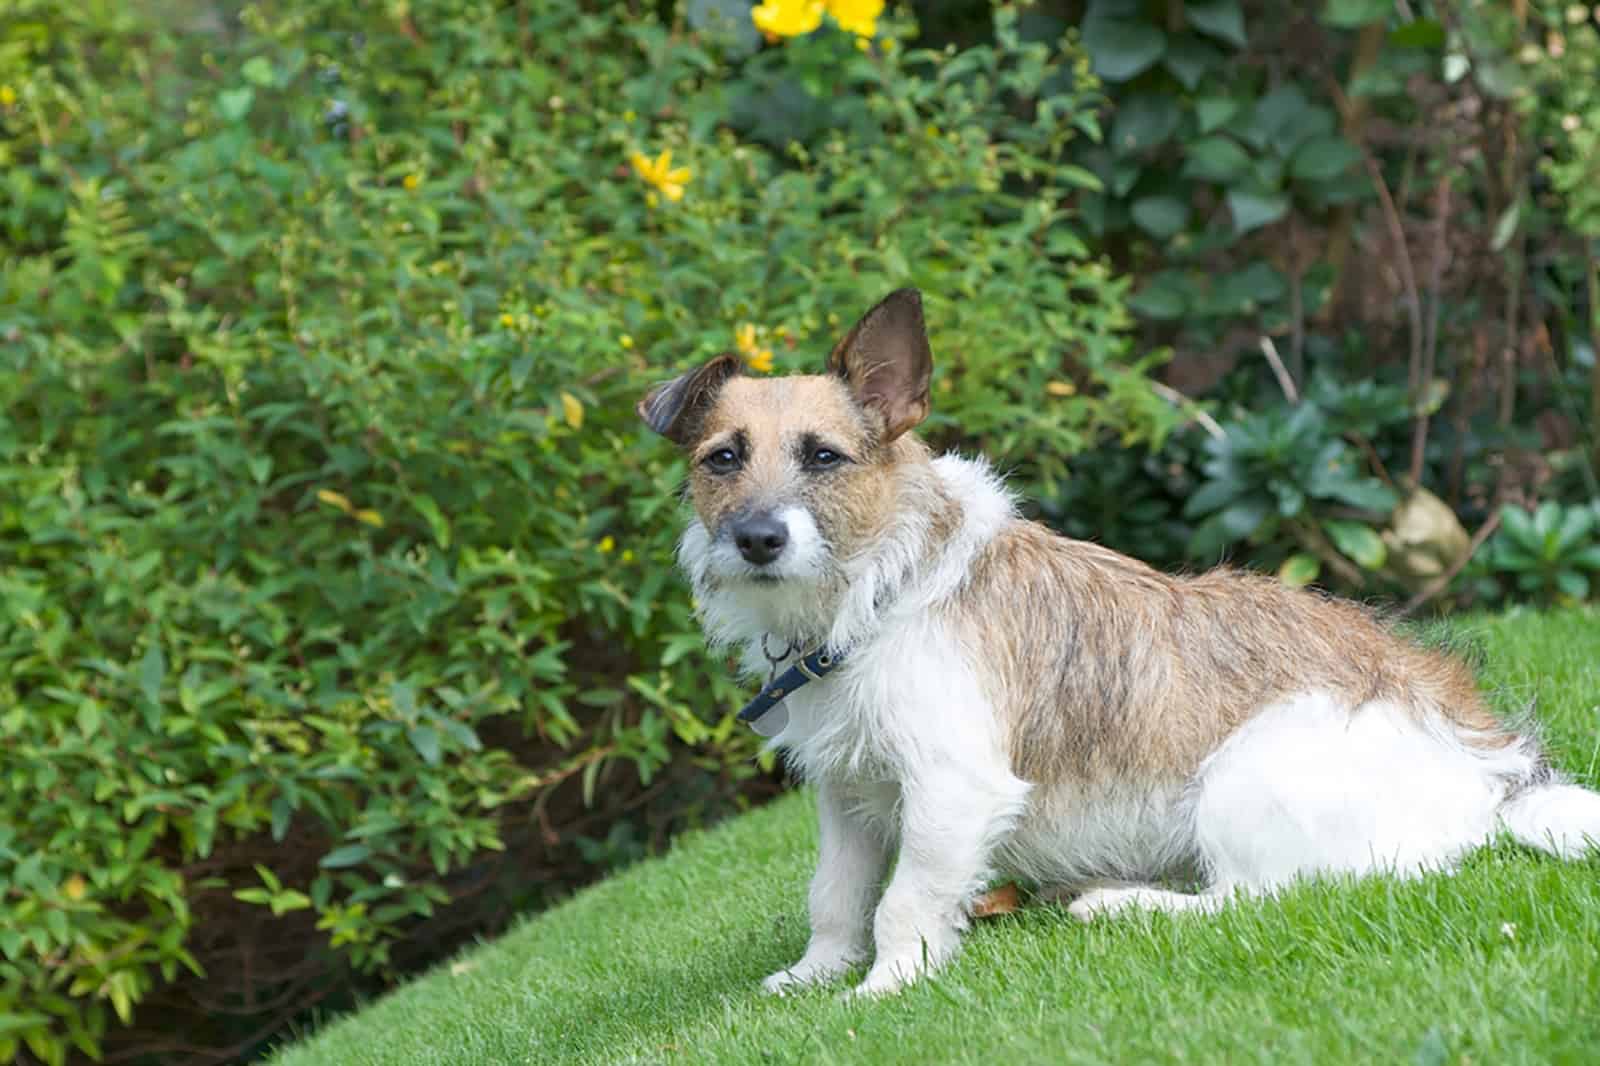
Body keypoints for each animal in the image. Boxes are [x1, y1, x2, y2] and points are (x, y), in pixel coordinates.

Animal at [636, 284, 1600, 998]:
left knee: (1265, 896)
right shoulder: (847, 792)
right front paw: (814, 976)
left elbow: (903, 902)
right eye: (723, 458)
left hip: (1243, 774)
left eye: (825, 457)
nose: (757, 539)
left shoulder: (953, 786)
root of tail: (1495, 778)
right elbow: (835, 896)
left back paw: (1122, 905)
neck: (879, 592)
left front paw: (883, 989)